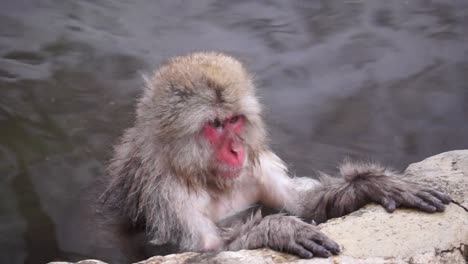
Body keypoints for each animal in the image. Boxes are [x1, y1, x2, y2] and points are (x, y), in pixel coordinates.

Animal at [99, 51, 454, 260]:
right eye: (215, 125)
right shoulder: (167, 194)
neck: (206, 176)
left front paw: (375, 184)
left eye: (234, 120)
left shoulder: (257, 168)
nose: (236, 149)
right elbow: (203, 251)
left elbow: (302, 205)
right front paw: (277, 230)